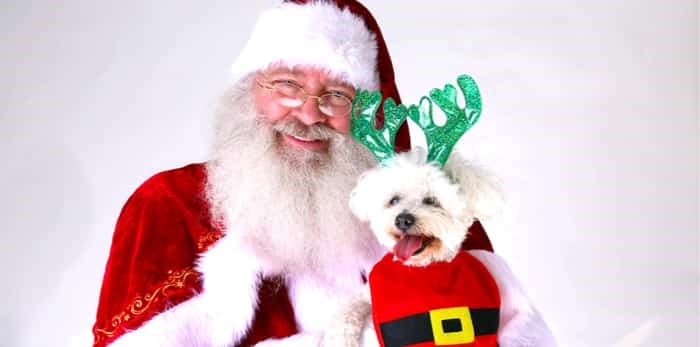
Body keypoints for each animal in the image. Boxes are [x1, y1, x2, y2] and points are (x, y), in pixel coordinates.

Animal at [322, 150, 556, 347]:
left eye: (431, 200)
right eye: (394, 200)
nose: (403, 219)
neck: (424, 268)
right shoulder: (367, 292)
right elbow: (348, 309)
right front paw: (339, 338)